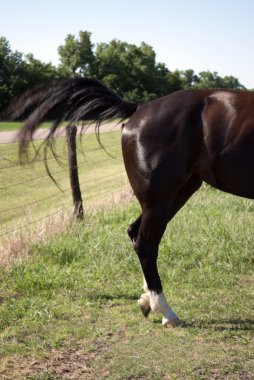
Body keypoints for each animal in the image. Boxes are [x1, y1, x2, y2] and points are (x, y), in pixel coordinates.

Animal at [2, 79, 254, 326]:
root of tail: (141, 108)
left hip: (178, 192)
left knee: (135, 233)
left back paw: (147, 300)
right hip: (160, 199)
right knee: (146, 245)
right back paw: (165, 310)